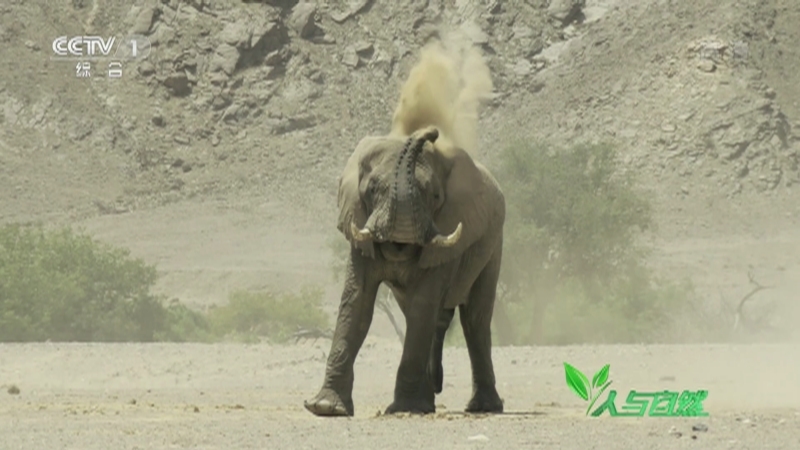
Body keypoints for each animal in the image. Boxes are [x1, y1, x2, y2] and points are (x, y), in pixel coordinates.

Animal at [304, 125, 506, 416]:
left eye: (434, 196)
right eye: (372, 189)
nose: (432, 131)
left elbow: (423, 305)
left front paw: (404, 408)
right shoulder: (359, 231)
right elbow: (357, 303)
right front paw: (326, 408)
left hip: (493, 242)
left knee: (475, 319)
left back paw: (482, 407)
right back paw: (429, 404)